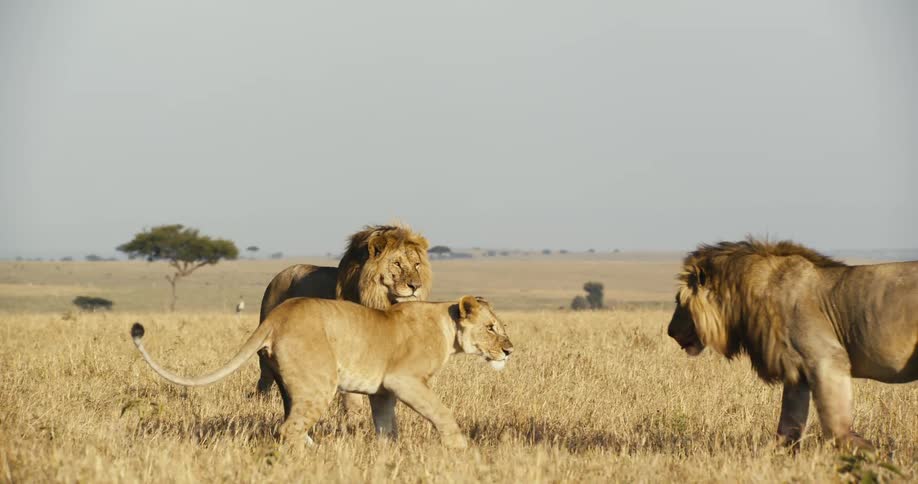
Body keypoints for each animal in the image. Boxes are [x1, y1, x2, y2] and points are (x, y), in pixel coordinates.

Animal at [131, 295, 513, 449]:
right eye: (491, 328)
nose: (510, 350)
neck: (447, 328)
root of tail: (278, 315)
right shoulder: (403, 380)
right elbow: (442, 412)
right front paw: (460, 448)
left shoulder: (383, 391)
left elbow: (387, 427)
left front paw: (387, 454)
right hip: (319, 384)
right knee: (287, 429)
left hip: (293, 384)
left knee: (290, 423)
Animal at [255, 225, 432, 397]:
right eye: (396, 263)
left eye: (417, 265)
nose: (416, 286)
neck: (384, 302)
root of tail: (278, 275)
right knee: (265, 374)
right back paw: (263, 398)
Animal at [667, 238, 917, 451]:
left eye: (679, 301)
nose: (669, 331)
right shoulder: (796, 369)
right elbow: (788, 425)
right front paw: (774, 458)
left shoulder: (827, 358)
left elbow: (834, 424)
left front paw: (868, 452)